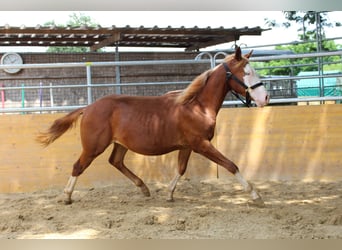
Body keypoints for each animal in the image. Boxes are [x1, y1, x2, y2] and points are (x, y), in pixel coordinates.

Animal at [36, 47, 268, 205]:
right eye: (247, 73)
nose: (265, 98)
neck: (197, 106)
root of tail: (89, 107)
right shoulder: (201, 144)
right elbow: (231, 165)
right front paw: (255, 194)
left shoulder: (187, 146)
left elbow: (181, 169)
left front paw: (169, 194)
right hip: (94, 146)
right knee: (78, 166)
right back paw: (66, 197)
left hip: (120, 144)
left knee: (115, 161)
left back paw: (144, 188)